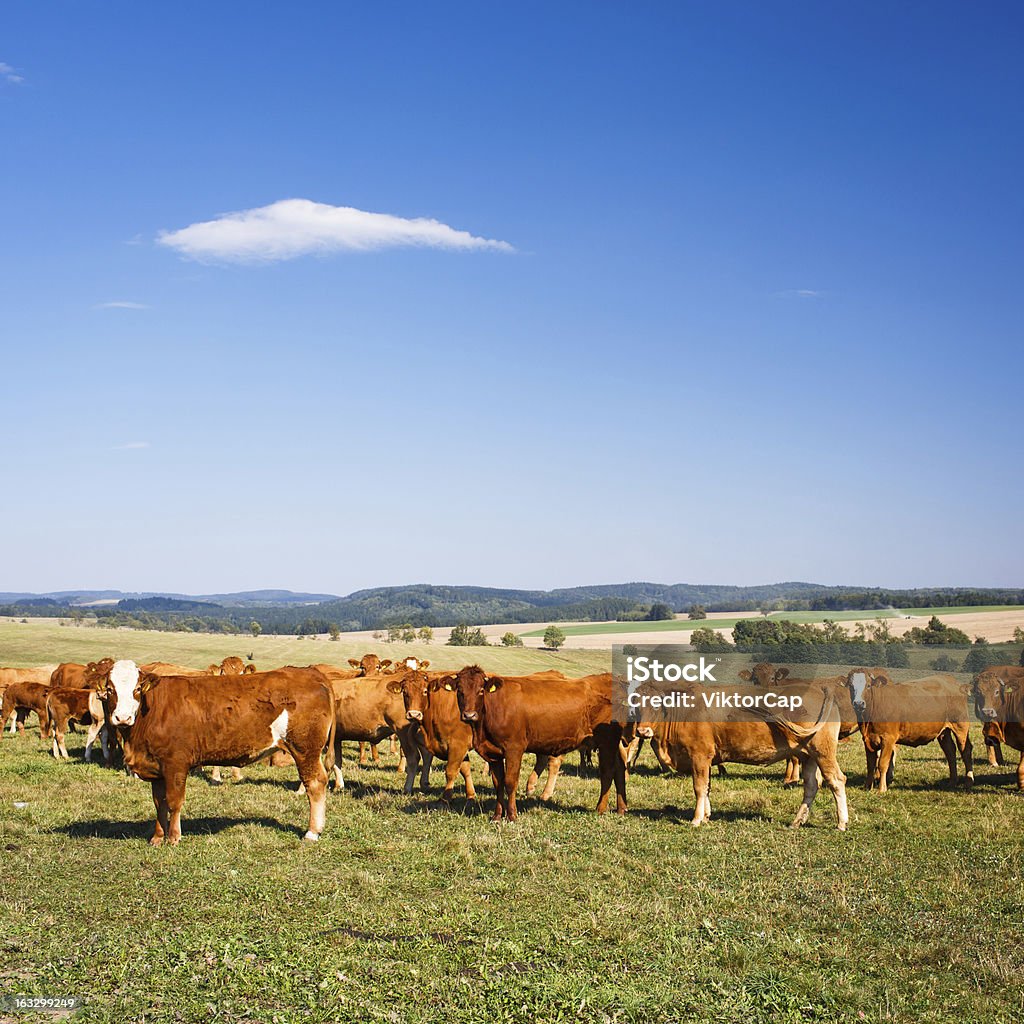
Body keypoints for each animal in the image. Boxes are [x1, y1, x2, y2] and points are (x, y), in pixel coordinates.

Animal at [90, 659, 333, 843]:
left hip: (305, 749)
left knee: (315, 783)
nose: (122, 718)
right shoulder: (156, 767)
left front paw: (174, 837)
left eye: (137, 689)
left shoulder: (176, 764)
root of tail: (311, 673)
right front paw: (157, 838)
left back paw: (312, 832)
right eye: (110, 689)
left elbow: (174, 801)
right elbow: (159, 804)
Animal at [454, 663, 622, 823]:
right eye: (460, 690)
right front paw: (496, 816)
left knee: (607, 772)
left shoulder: (514, 749)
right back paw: (620, 808)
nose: (469, 715)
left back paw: (600, 808)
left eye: (481, 690)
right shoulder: (493, 753)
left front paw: (512, 816)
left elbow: (510, 782)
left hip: (607, 743)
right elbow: (498, 784)